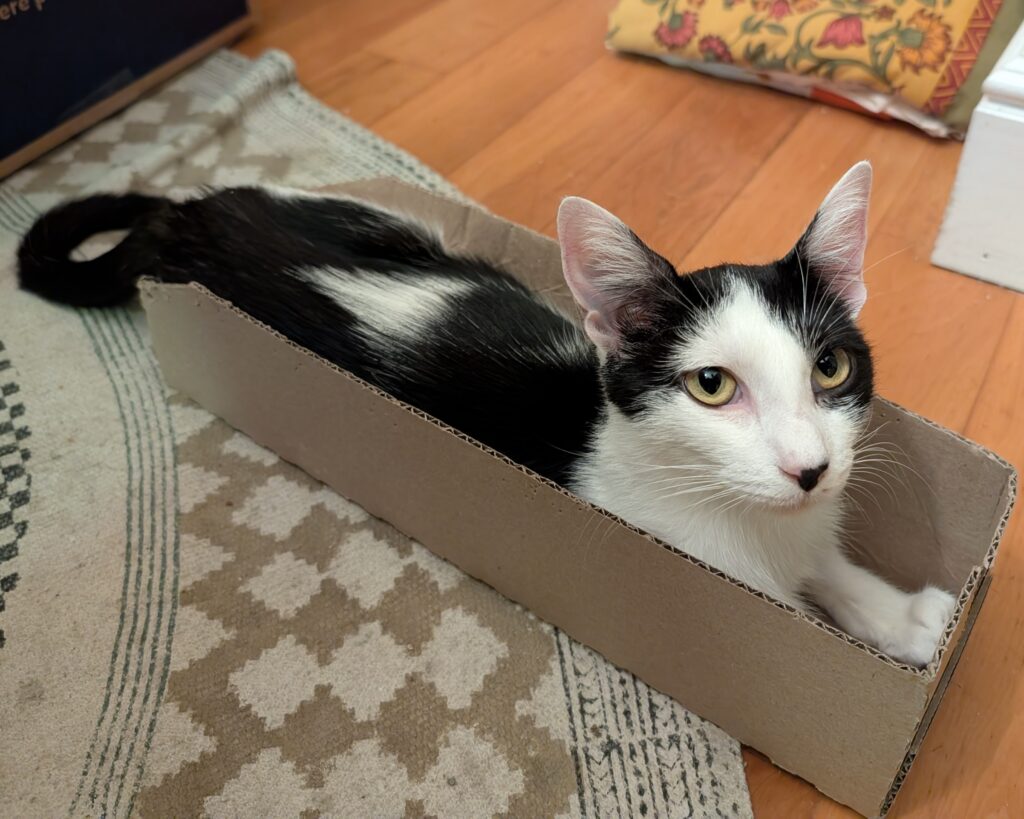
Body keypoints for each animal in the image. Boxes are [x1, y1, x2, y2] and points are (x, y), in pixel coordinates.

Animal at [17, 161, 954, 667]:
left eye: (829, 367)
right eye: (713, 385)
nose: (810, 466)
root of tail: (182, 216)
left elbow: (827, 565)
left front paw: (904, 616)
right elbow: (796, 606)